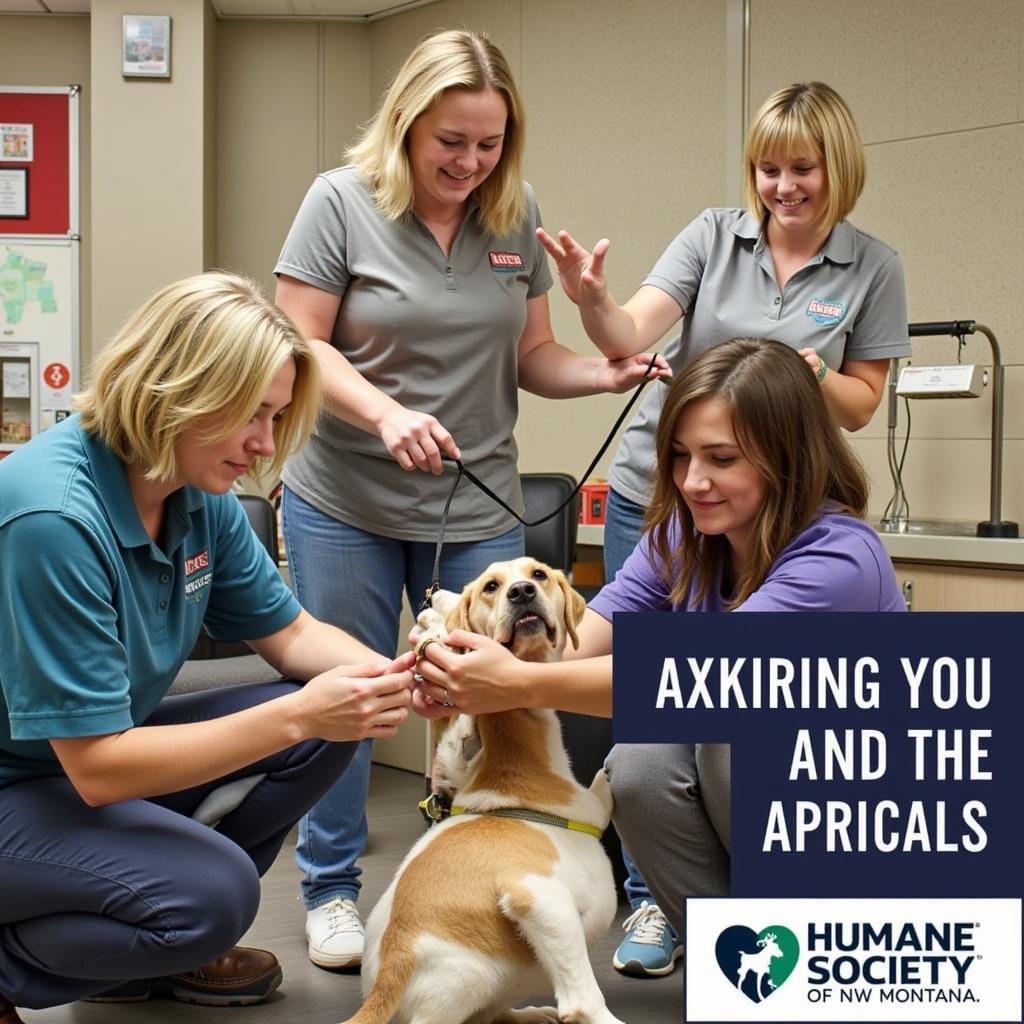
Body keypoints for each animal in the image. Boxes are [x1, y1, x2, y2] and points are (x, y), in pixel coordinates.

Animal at [339, 561, 618, 1024]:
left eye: (538, 574)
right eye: (491, 586)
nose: (521, 592)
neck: (516, 769)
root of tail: (383, 985)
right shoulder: (538, 899)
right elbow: (583, 1001)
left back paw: (530, 1014)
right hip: (471, 974)